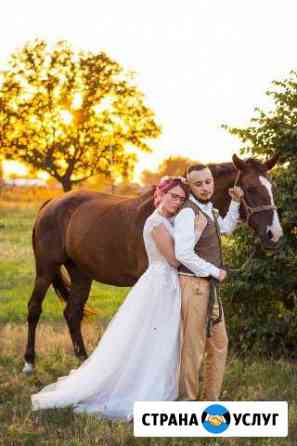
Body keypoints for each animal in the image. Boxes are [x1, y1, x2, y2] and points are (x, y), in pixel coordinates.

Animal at [22, 153, 282, 372]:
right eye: (251, 188)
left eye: (273, 188)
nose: (274, 235)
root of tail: (51, 203)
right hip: (46, 268)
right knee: (34, 309)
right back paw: (29, 363)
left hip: (81, 273)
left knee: (72, 313)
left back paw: (82, 363)